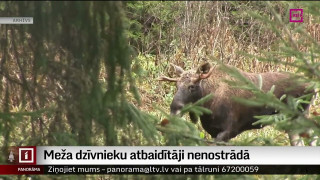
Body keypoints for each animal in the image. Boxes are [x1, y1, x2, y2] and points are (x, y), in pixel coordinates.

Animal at [159, 62, 314, 146]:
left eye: (192, 86)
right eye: (177, 85)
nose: (174, 109)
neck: (208, 107)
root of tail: (312, 86)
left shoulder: (229, 130)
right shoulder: (213, 131)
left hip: (300, 116)